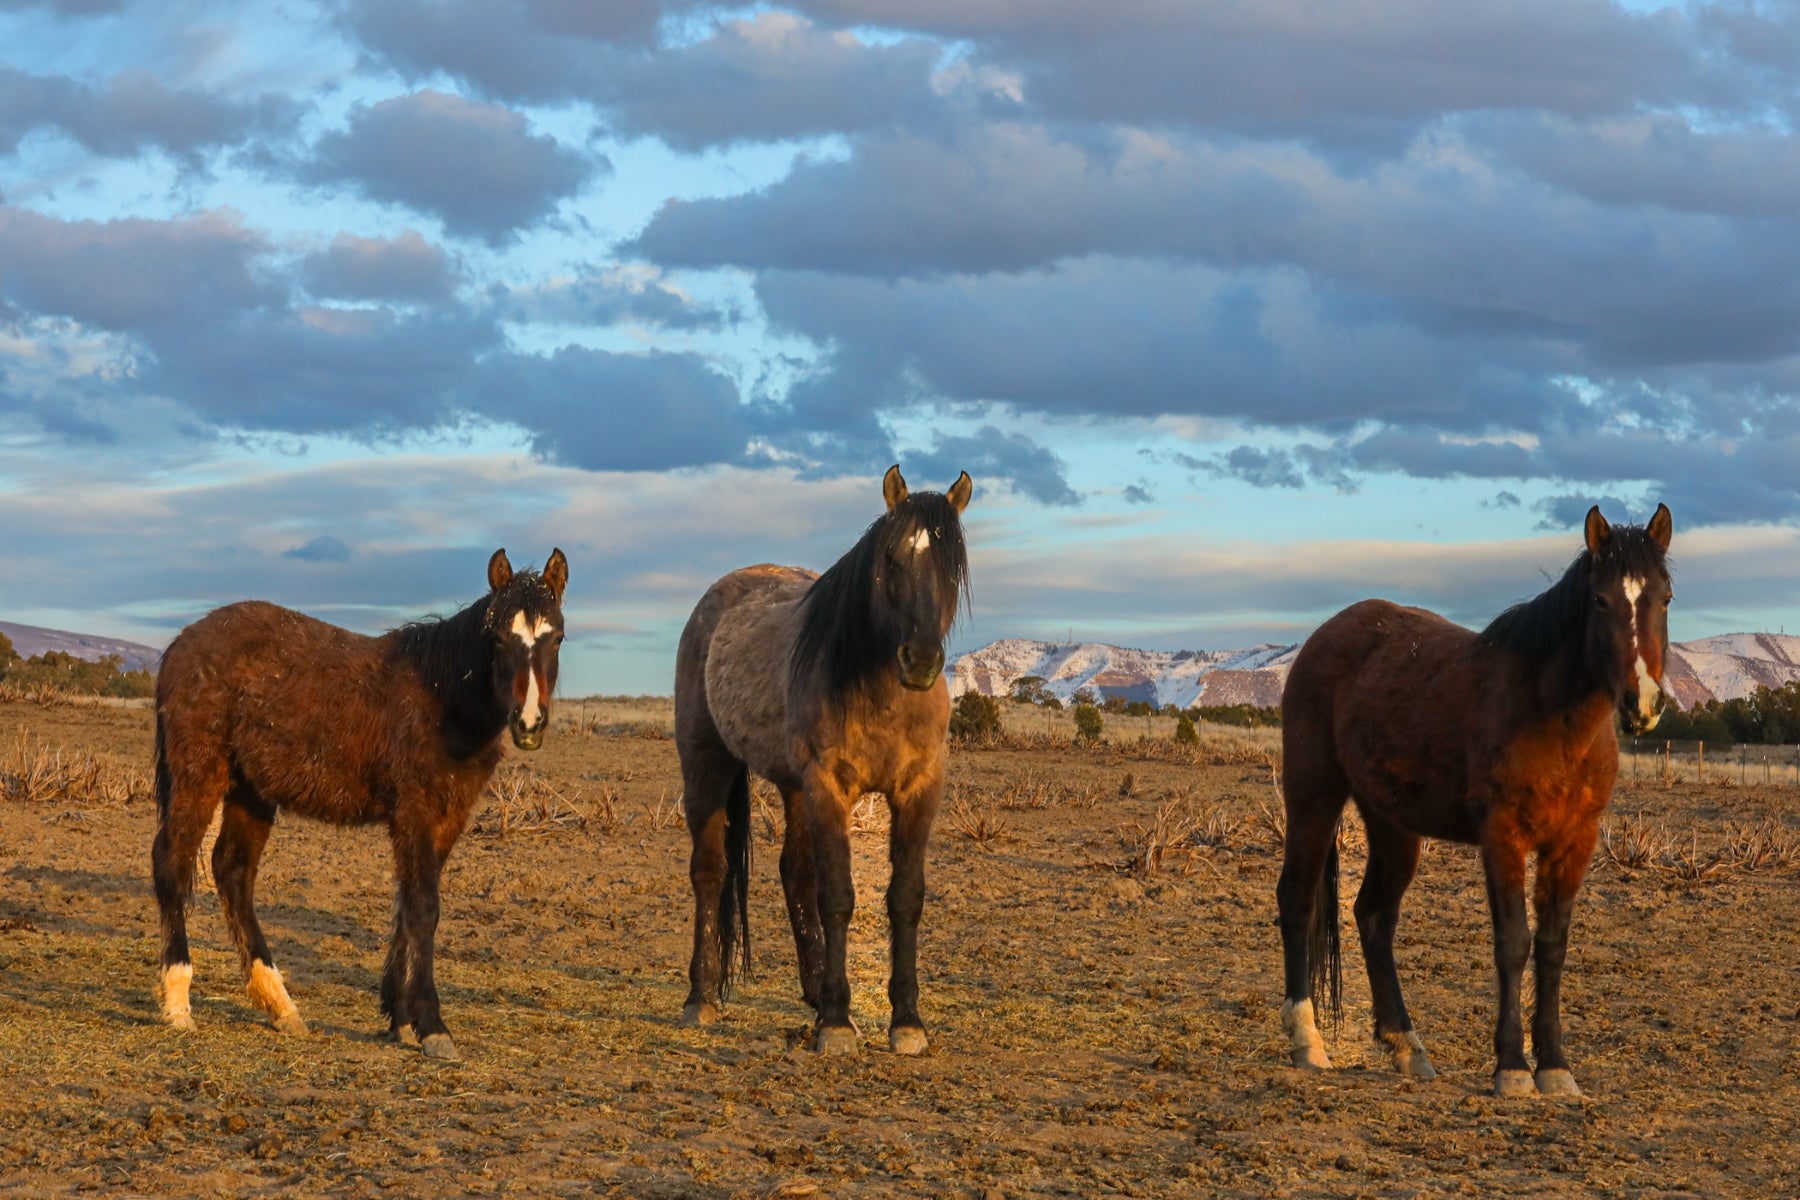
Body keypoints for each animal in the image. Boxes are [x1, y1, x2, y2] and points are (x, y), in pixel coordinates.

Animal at [152, 546, 565, 1057]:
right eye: (498, 638)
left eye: (557, 637)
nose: (528, 724)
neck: (441, 697)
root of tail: (182, 643)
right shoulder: (413, 812)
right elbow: (423, 907)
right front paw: (433, 1027)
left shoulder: (448, 816)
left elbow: (407, 907)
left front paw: (400, 1018)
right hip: (199, 775)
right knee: (173, 862)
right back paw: (178, 1002)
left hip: (251, 792)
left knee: (232, 872)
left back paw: (280, 1004)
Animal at [676, 464, 972, 1057]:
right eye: (890, 558)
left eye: (953, 565)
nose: (921, 660)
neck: (881, 690)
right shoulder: (831, 788)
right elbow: (837, 896)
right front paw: (837, 1023)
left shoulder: (919, 791)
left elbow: (905, 899)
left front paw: (906, 1021)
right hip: (707, 766)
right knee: (710, 871)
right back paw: (702, 996)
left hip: (794, 787)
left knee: (795, 871)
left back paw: (812, 992)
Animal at [1281, 503, 1670, 1101]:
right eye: (1601, 600)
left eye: (1665, 597)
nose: (1642, 703)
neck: (1554, 720)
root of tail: (1322, 638)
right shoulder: (1503, 837)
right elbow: (1513, 942)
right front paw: (1511, 1067)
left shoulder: (1573, 843)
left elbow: (1552, 945)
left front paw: (1555, 1067)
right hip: (1313, 797)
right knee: (1298, 901)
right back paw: (1308, 1042)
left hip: (1393, 824)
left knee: (1373, 916)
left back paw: (1406, 1046)